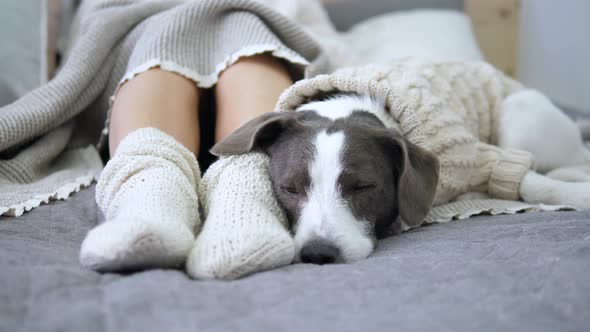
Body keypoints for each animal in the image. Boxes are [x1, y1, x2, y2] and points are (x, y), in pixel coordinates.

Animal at [212, 91, 590, 264]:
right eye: (288, 188)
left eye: (363, 186)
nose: (318, 253)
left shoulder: (473, 155)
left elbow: (531, 182)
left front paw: (575, 195)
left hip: (521, 111)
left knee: (563, 161)